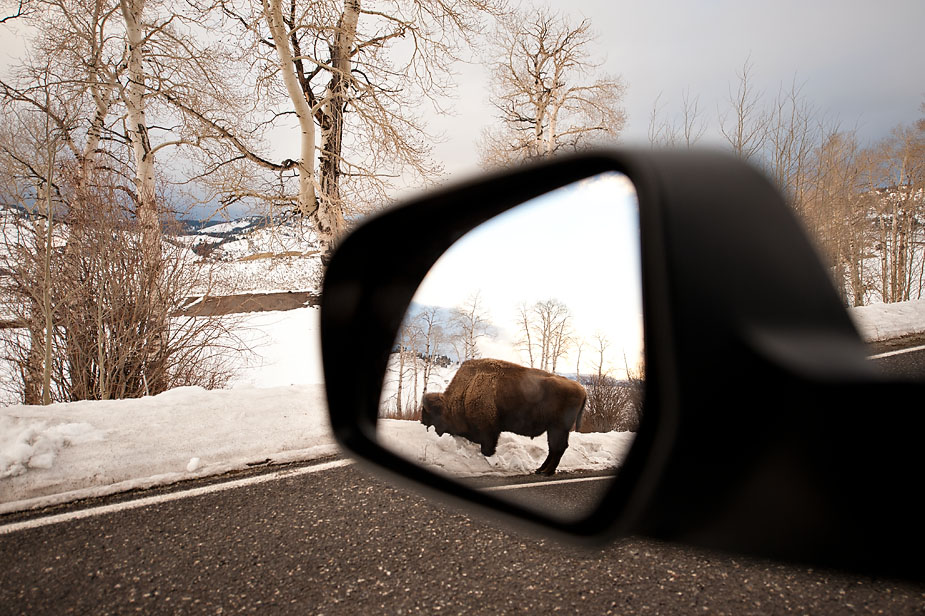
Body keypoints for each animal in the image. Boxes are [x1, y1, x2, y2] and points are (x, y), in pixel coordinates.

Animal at [420, 356, 584, 476]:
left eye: (432, 415)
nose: (425, 426)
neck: (467, 390)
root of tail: (582, 389)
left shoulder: (489, 431)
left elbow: (487, 449)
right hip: (554, 429)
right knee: (554, 448)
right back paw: (540, 470)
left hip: (558, 428)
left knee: (558, 448)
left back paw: (547, 472)